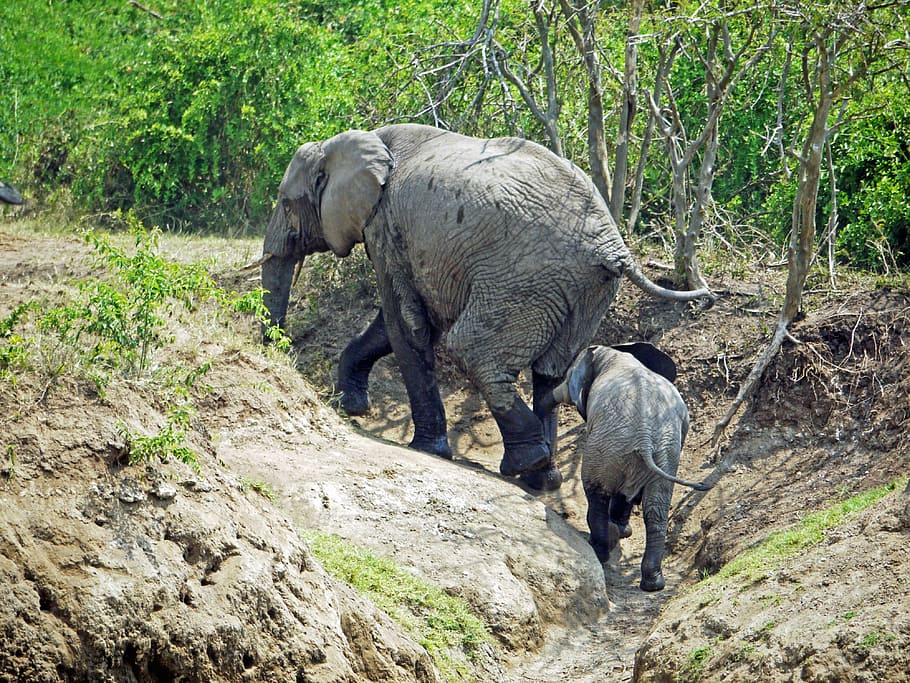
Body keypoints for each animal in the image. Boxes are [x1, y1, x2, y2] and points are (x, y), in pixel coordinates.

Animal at [250, 124, 713, 491]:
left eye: (286, 203)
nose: (278, 351)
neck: (357, 142)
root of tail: (613, 247)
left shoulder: (386, 226)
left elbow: (407, 325)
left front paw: (426, 448)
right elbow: (396, 322)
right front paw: (352, 405)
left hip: (524, 278)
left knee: (473, 351)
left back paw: (526, 464)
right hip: (583, 291)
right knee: (551, 371)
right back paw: (543, 478)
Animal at [544, 343, 711, 591]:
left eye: (567, 376)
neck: (615, 354)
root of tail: (645, 436)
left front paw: (618, 534)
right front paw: (624, 532)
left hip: (608, 445)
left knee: (596, 493)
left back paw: (600, 550)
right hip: (662, 452)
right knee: (655, 509)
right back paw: (653, 583)